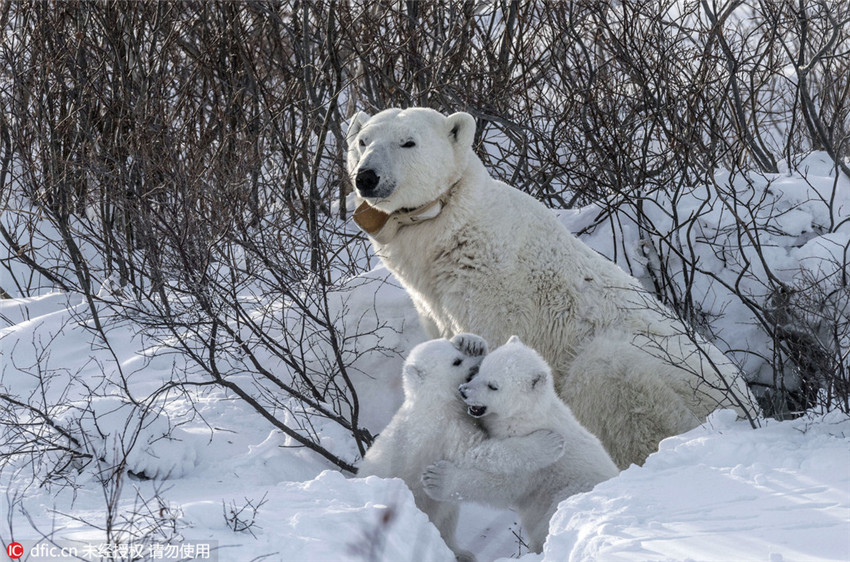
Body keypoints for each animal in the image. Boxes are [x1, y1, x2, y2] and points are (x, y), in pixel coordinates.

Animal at [344, 107, 756, 466]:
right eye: (363, 141)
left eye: (408, 142)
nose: (367, 177)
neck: (452, 234)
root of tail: (746, 409)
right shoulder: (431, 299)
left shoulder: (495, 291)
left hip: (660, 379)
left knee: (609, 379)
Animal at [356, 334, 564, 556]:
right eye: (456, 361)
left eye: (459, 353)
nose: (478, 362)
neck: (432, 401)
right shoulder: (443, 428)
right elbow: (479, 451)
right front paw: (550, 442)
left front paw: (471, 341)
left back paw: (462, 553)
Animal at [420, 334, 612, 548]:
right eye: (481, 370)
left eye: (493, 386)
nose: (464, 391)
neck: (524, 417)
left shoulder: (538, 467)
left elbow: (505, 485)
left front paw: (437, 479)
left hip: (567, 493)